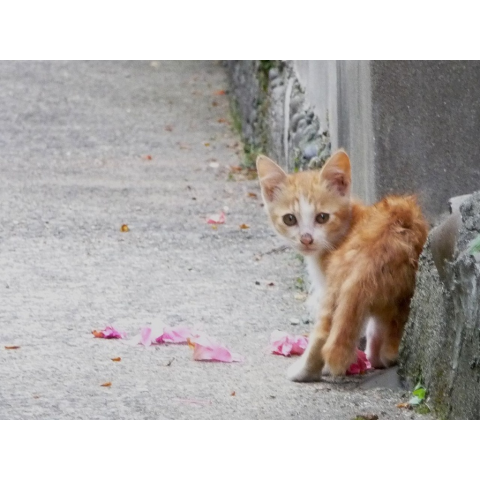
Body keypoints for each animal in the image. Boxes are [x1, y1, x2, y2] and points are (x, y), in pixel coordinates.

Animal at [256, 150, 430, 382]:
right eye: (290, 219)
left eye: (322, 217)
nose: (306, 239)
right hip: (398, 290)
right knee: (389, 326)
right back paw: (381, 356)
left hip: (337, 284)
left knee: (324, 332)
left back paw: (303, 372)